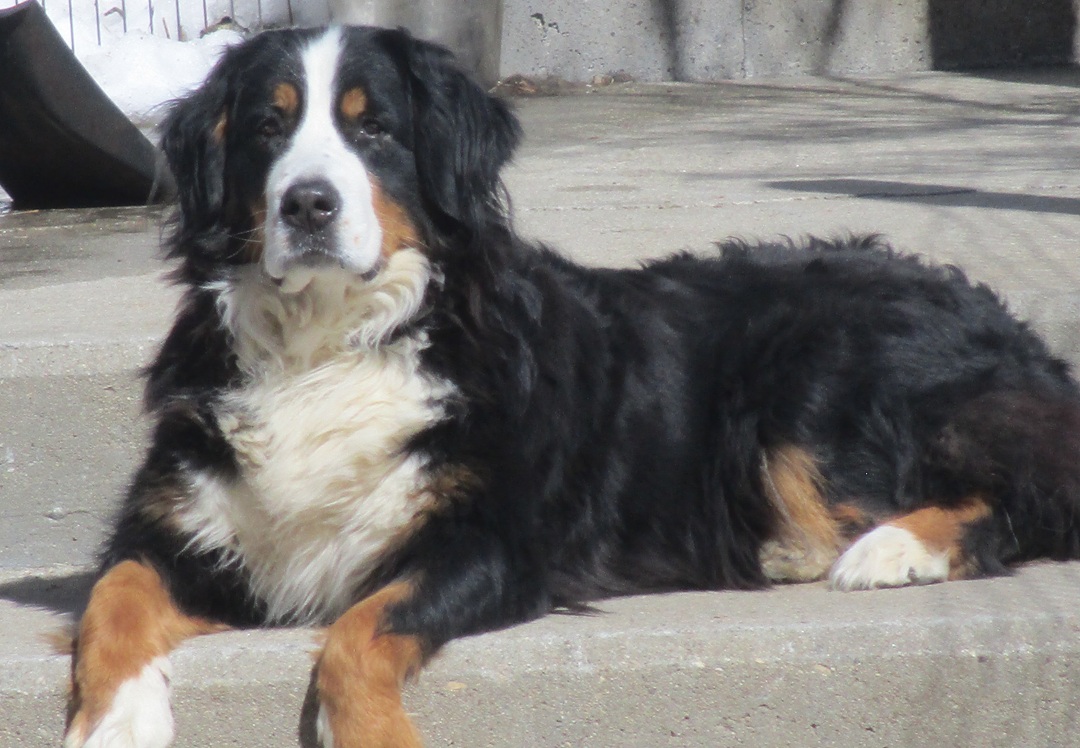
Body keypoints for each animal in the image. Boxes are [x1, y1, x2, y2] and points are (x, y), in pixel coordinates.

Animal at [64, 25, 1080, 748]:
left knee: (1018, 501)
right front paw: (114, 721)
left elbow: (357, 633)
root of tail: (1008, 326)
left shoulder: (487, 543)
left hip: (811, 384)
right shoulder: (178, 522)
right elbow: (112, 598)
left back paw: (888, 550)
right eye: (268, 126)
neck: (330, 340)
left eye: (374, 127)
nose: (307, 203)